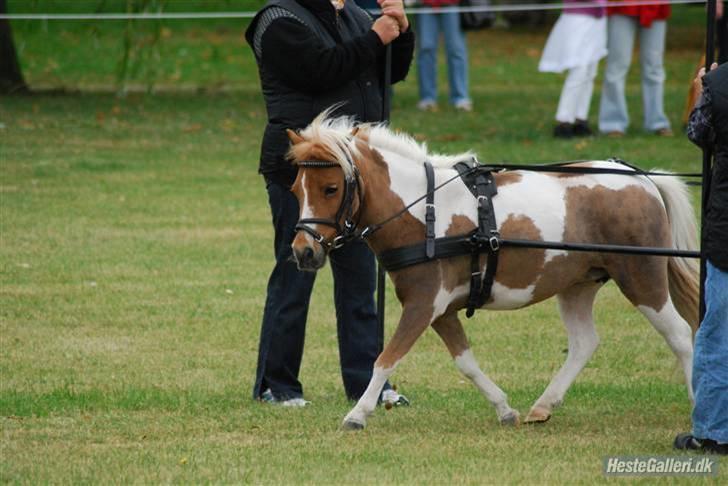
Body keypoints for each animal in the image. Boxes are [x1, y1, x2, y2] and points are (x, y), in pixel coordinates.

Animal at [284, 111, 700, 430]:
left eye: (332, 188)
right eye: (295, 189)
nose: (303, 252)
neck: (423, 212)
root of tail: (639, 177)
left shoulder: (422, 305)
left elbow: (387, 357)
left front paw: (357, 413)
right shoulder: (440, 309)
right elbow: (466, 362)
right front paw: (504, 408)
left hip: (641, 276)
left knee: (680, 334)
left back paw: (698, 406)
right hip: (577, 284)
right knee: (584, 342)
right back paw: (543, 405)